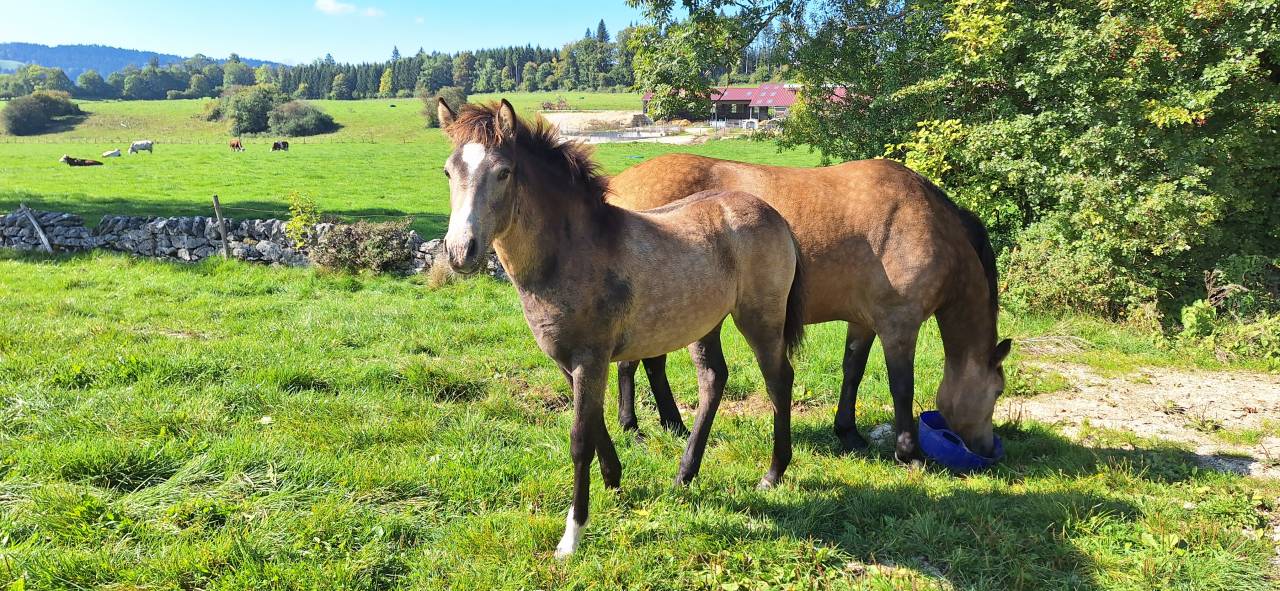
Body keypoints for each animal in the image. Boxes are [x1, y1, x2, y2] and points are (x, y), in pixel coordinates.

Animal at [437, 99, 805, 558]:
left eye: (503, 172)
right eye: (448, 171)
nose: (460, 252)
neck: (571, 254)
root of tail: (774, 215)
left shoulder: (590, 359)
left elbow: (579, 438)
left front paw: (572, 534)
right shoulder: (568, 361)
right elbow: (596, 425)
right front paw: (614, 479)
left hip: (760, 320)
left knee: (778, 381)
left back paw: (772, 474)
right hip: (706, 324)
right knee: (713, 379)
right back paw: (685, 474)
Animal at [608, 153, 1011, 462]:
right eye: (998, 391)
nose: (987, 449)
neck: (926, 221)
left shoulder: (864, 322)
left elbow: (853, 371)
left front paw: (848, 433)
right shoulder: (899, 325)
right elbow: (902, 386)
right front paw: (909, 451)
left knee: (649, 364)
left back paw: (669, 424)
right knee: (640, 363)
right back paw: (636, 425)